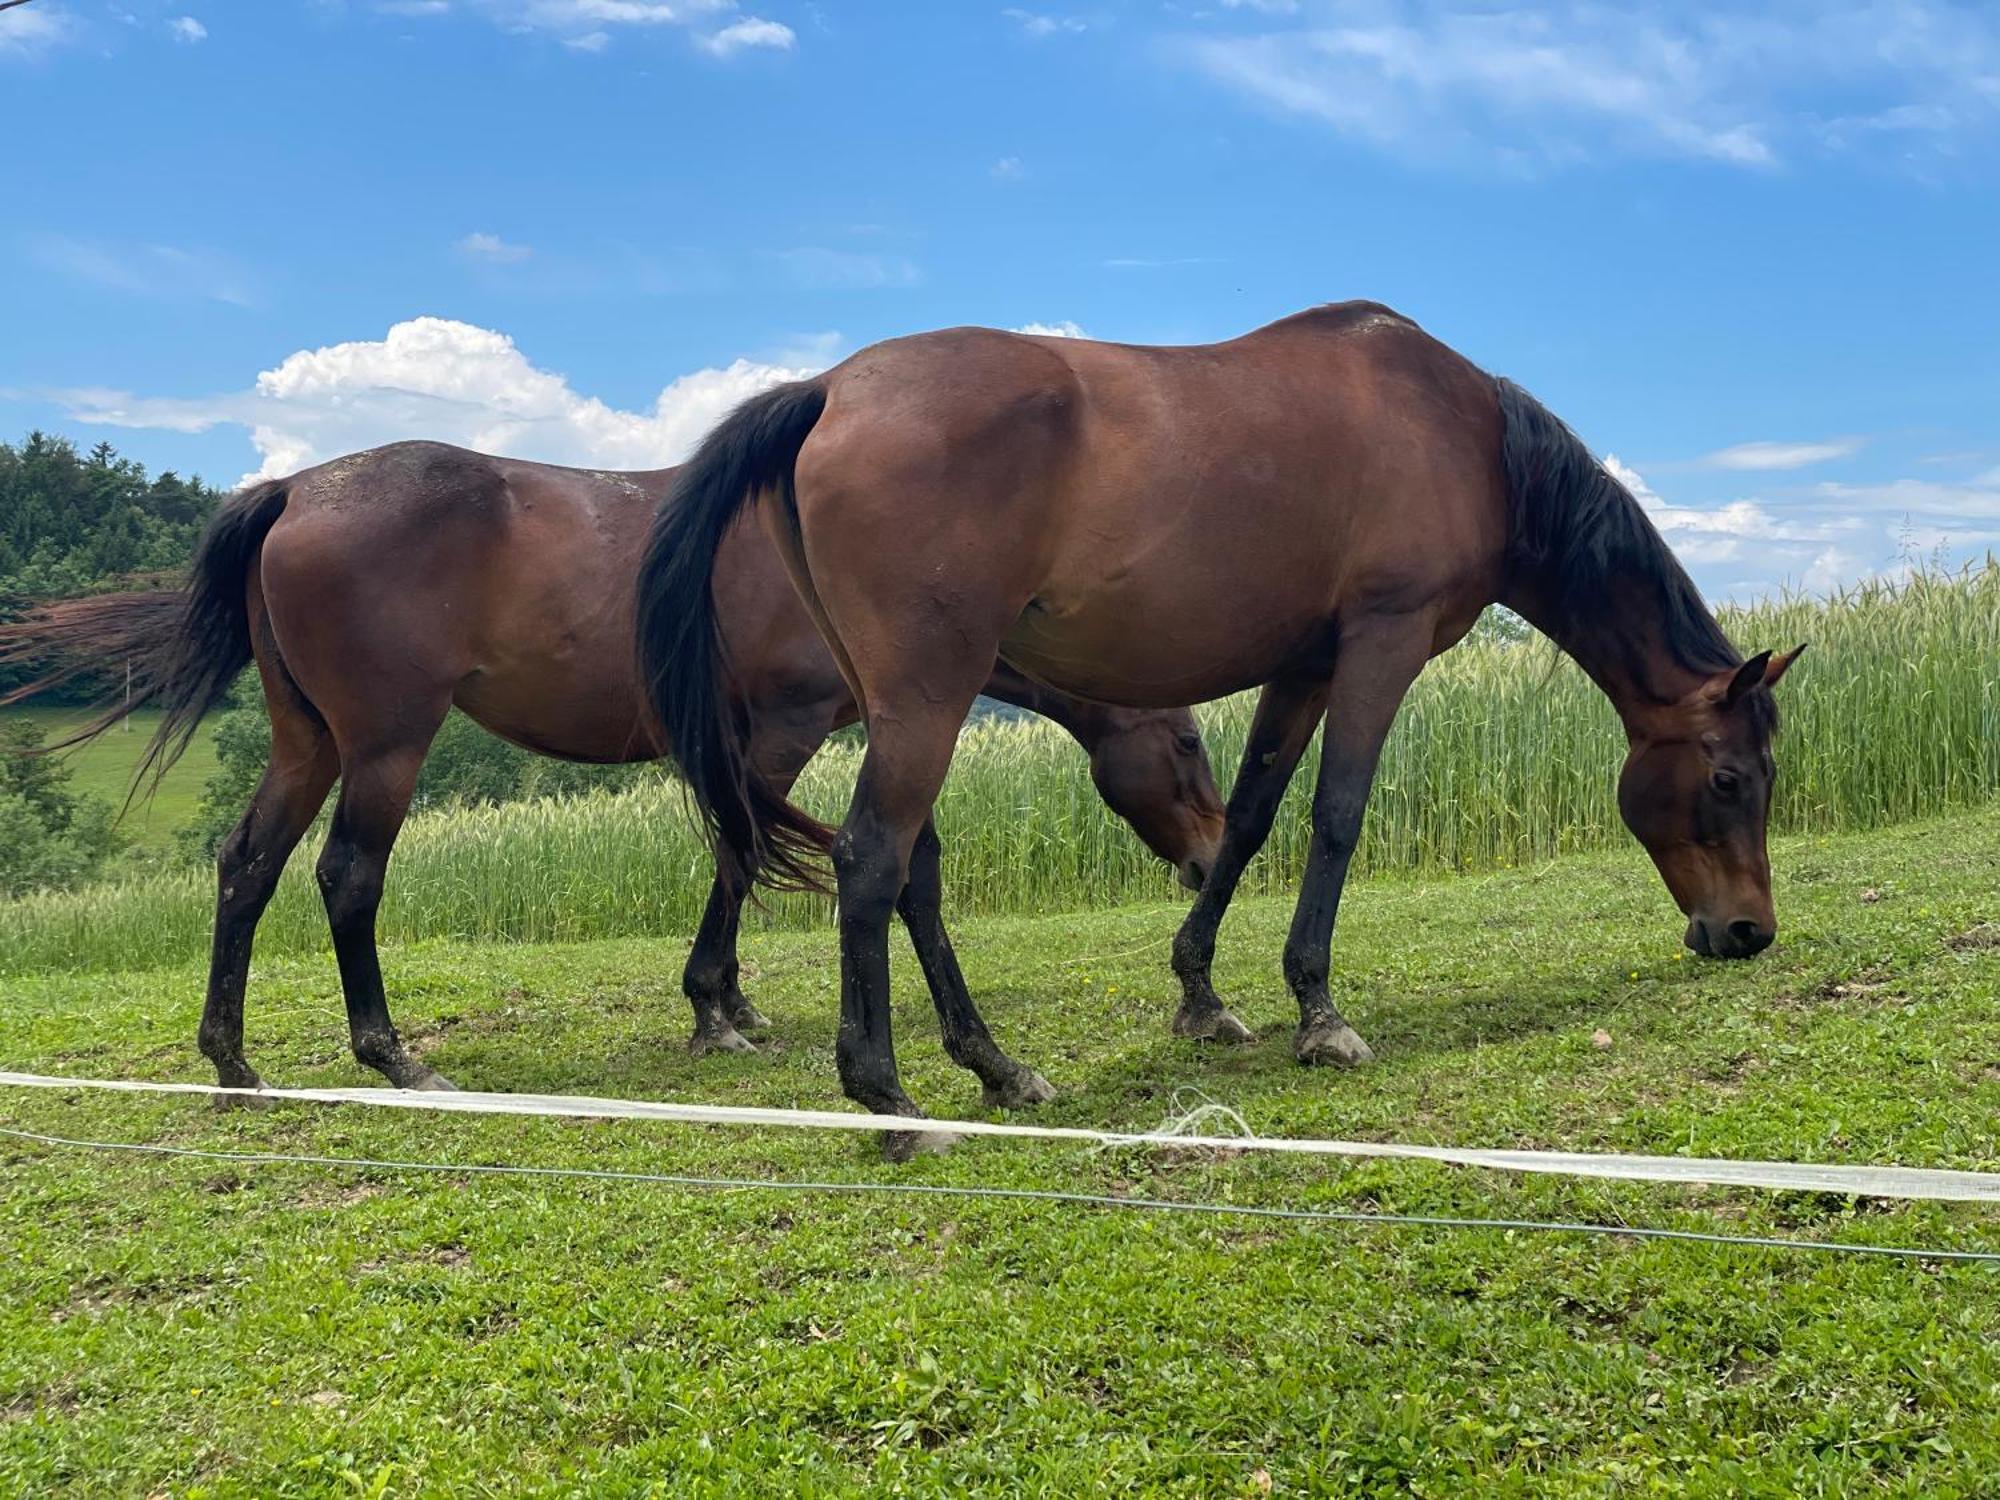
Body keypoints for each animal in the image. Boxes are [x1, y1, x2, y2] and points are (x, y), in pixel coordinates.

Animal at [0, 444, 1224, 1096]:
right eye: (1188, 741)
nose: (1216, 856)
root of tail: (298, 489)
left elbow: (812, 867)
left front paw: (731, 1002)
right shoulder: (782, 732)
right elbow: (744, 860)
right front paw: (714, 1007)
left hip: (309, 745)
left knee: (246, 867)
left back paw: (233, 1060)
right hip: (386, 745)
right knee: (346, 878)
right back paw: (393, 1059)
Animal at [644, 302, 1816, 1152]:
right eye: (1729, 779)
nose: (1746, 930)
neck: (1468, 438)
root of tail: (829, 388)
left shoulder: (1301, 669)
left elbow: (1249, 822)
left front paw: (1201, 996)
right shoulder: (1379, 646)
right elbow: (1337, 818)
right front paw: (1320, 1012)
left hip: (899, 706)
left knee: (914, 879)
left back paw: (996, 1067)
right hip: (927, 697)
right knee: (870, 861)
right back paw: (888, 1098)